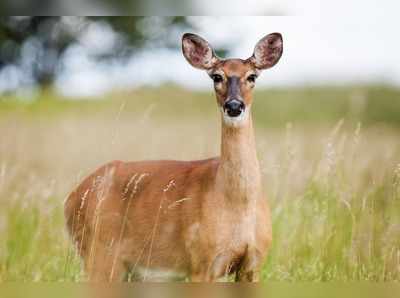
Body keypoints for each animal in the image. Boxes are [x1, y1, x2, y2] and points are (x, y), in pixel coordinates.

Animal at [64, 32, 282, 282]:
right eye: (216, 77)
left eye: (252, 76)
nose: (234, 105)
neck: (237, 203)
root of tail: (71, 198)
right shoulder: (201, 263)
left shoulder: (253, 264)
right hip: (99, 255)